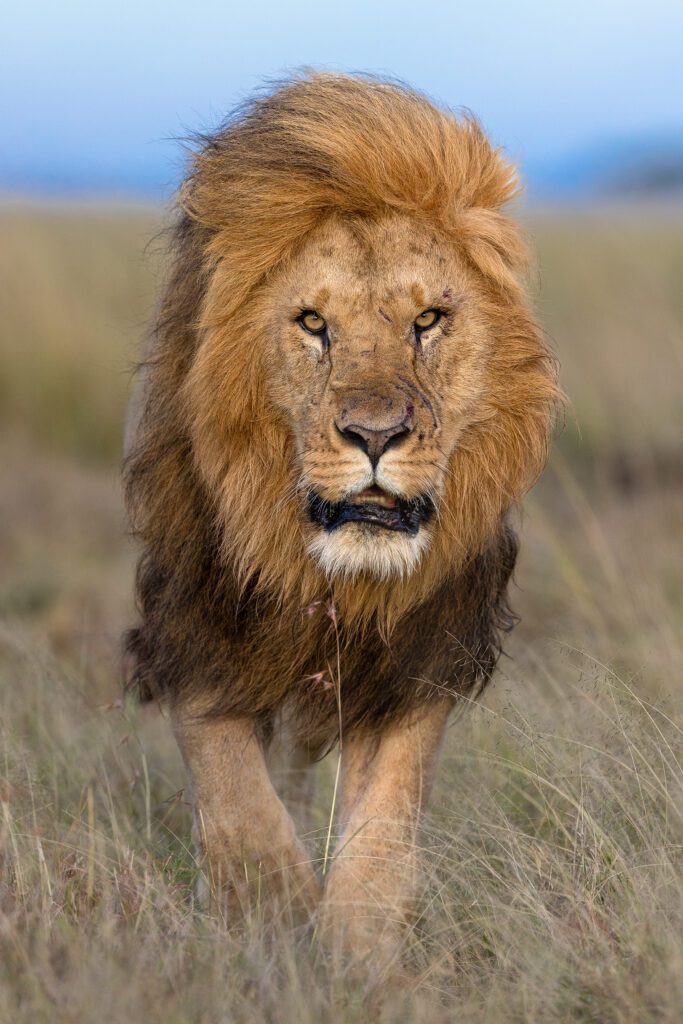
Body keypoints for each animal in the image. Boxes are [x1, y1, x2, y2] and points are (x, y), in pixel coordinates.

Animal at [124, 72, 558, 951]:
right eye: (311, 323)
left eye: (427, 320)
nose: (375, 435)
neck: (333, 579)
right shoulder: (194, 625)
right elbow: (237, 795)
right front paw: (272, 918)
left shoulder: (419, 655)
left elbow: (384, 821)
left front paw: (355, 954)